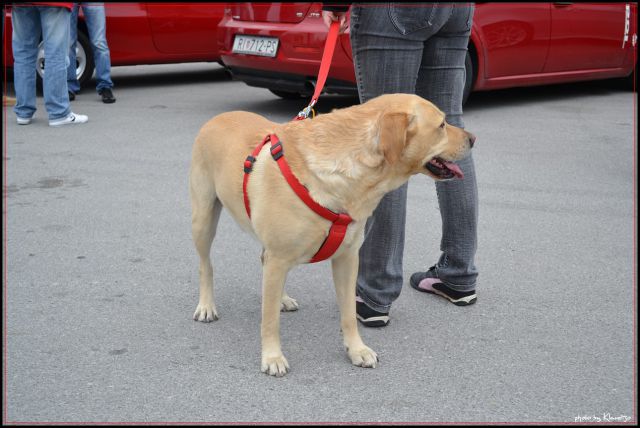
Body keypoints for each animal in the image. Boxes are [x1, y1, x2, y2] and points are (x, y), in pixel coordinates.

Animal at [190, 93, 476, 374]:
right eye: (441, 125)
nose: (473, 139)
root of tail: (218, 117)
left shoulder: (347, 258)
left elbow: (348, 314)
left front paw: (356, 349)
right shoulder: (279, 258)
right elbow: (269, 320)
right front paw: (272, 357)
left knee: (264, 262)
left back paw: (282, 298)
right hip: (203, 220)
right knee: (205, 266)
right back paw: (206, 306)